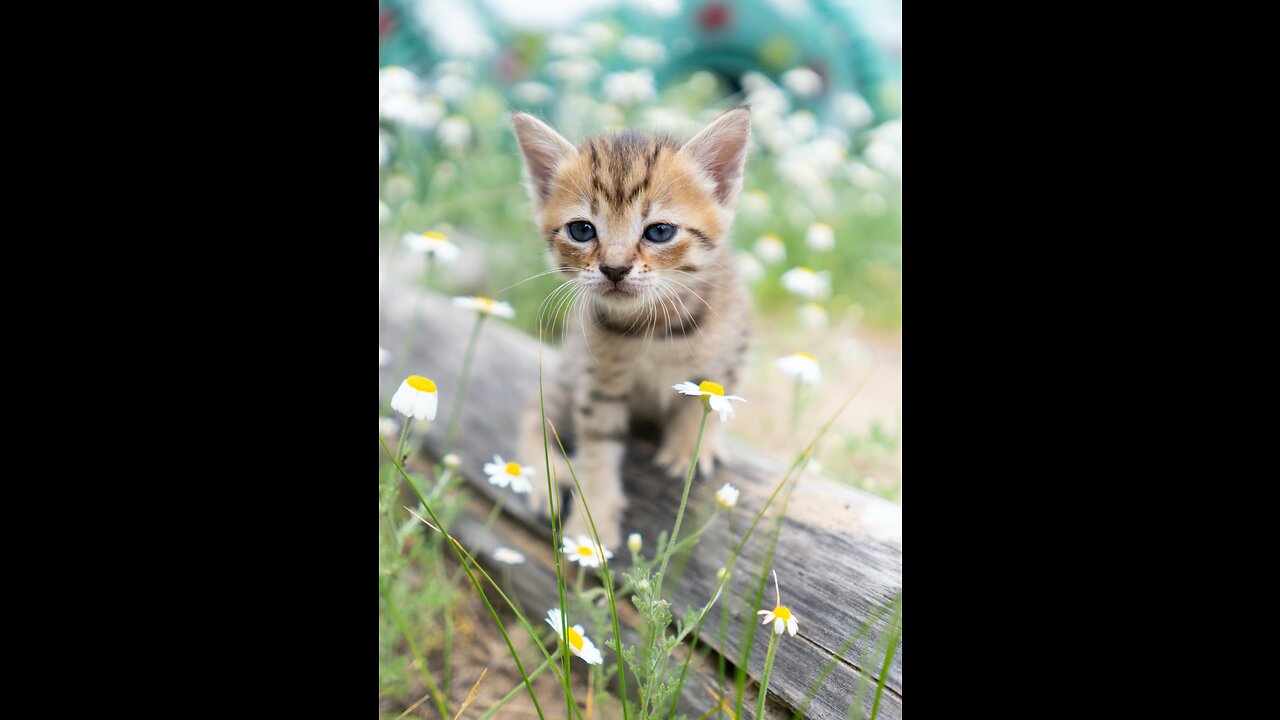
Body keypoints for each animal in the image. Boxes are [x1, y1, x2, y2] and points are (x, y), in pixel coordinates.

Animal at [509, 106, 747, 543]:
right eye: (582, 230)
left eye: (660, 231)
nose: (614, 269)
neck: (653, 328)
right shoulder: (598, 383)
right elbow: (597, 450)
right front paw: (592, 523)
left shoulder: (734, 346)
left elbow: (709, 396)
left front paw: (689, 448)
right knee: (534, 411)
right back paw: (541, 474)